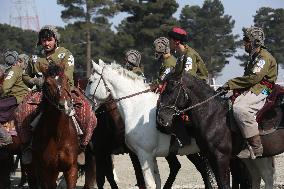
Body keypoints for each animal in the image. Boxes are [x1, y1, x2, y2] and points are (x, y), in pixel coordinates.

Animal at [85, 60, 276, 189]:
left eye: (89, 81)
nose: (88, 103)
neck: (137, 107)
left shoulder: (143, 155)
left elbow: (149, 184)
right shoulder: (148, 157)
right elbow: (156, 182)